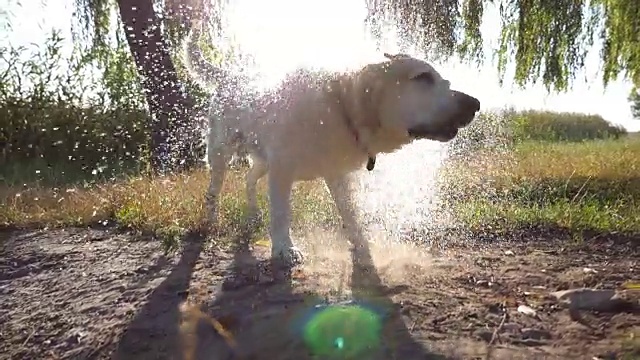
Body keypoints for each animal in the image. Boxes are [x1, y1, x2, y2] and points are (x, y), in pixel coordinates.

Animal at [180, 26, 480, 268]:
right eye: (422, 78)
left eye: (444, 80)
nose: (475, 103)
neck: (340, 108)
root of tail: (229, 77)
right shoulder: (282, 170)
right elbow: (281, 213)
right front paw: (284, 250)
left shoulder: (336, 175)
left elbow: (351, 213)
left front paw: (361, 246)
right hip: (221, 153)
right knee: (214, 189)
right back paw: (211, 220)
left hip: (262, 160)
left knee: (248, 178)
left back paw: (253, 215)